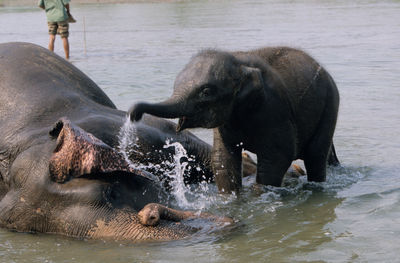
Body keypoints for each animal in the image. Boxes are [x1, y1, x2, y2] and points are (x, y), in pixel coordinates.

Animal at [129, 46, 340, 194]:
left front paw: (260, 195)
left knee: (315, 155)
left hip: (330, 105)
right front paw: (230, 199)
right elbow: (223, 158)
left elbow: (278, 157)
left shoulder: (275, 107)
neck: (239, 61)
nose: (133, 114)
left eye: (206, 91)